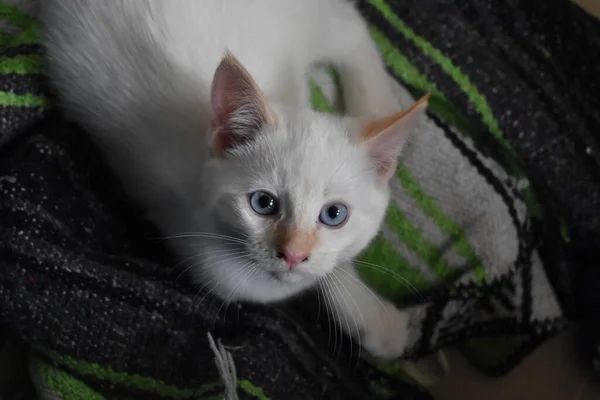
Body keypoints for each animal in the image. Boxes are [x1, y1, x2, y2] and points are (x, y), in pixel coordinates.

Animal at [39, 0, 426, 358]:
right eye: (263, 203)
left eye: (334, 214)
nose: (293, 255)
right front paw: (374, 318)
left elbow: (333, 262)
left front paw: (374, 318)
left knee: (350, 25)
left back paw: (376, 105)